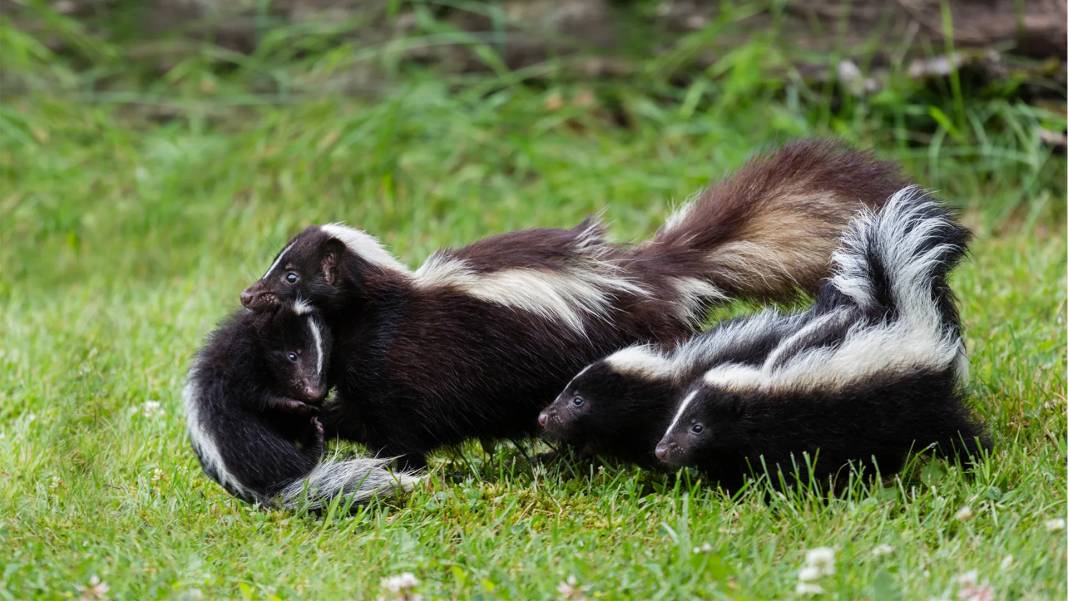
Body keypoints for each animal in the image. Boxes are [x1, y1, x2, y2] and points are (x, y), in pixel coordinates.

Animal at [183, 305, 416, 508]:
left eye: (327, 357)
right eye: (292, 355)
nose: (315, 392)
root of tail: (264, 494)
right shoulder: (238, 361)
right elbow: (254, 392)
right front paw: (293, 403)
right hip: (247, 442)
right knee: (290, 457)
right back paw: (315, 439)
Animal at [238, 139, 905, 469]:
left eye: (291, 274)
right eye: (275, 265)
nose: (248, 294)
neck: (379, 305)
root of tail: (658, 273)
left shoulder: (403, 361)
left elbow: (398, 424)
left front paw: (407, 468)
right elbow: (360, 413)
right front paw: (316, 421)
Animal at [649, 186, 991, 484]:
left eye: (698, 427)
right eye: (677, 419)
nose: (662, 449)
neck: (763, 385)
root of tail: (902, 314)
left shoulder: (806, 425)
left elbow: (801, 465)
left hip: (921, 398)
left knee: (950, 428)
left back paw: (977, 458)